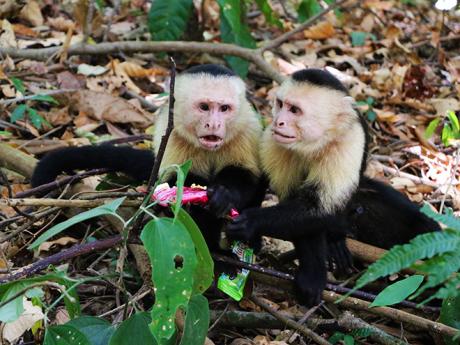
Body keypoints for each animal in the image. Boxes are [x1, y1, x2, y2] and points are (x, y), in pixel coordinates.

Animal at [31, 63, 266, 253]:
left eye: (224, 108)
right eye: (204, 107)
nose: (214, 124)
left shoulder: (247, 127)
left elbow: (245, 176)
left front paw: (224, 194)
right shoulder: (171, 132)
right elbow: (175, 182)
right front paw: (194, 200)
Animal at [228, 68, 440, 306]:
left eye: (294, 110)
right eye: (280, 105)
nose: (279, 122)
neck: (315, 143)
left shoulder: (349, 139)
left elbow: (318, 207)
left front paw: (252, 222)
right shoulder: (275, 143)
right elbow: (303, 207)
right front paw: (313, 273)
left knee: (423, 225)